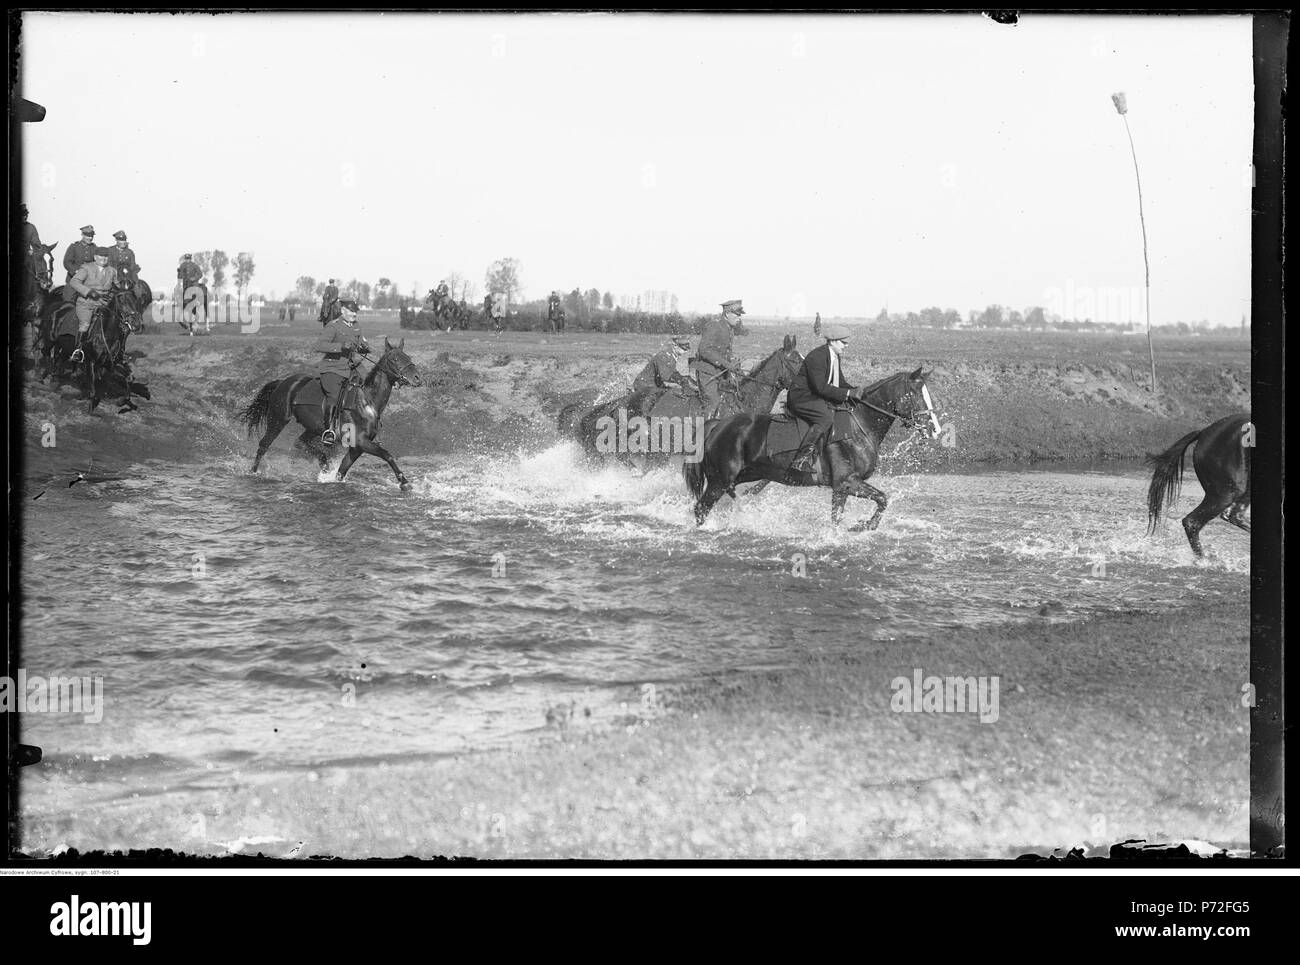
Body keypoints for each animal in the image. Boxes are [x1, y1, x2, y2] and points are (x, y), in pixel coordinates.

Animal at [681, 369, 946, 533]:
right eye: (914, 394)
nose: (935, 430)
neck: (859, 425)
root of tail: (717, 425)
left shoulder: (842, 488)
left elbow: (854, 511)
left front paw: (856, 529)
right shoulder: (846, 482)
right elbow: (881, 499)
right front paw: (861, 527)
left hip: (742, 476)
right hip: (719, 481)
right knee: (701, 509)